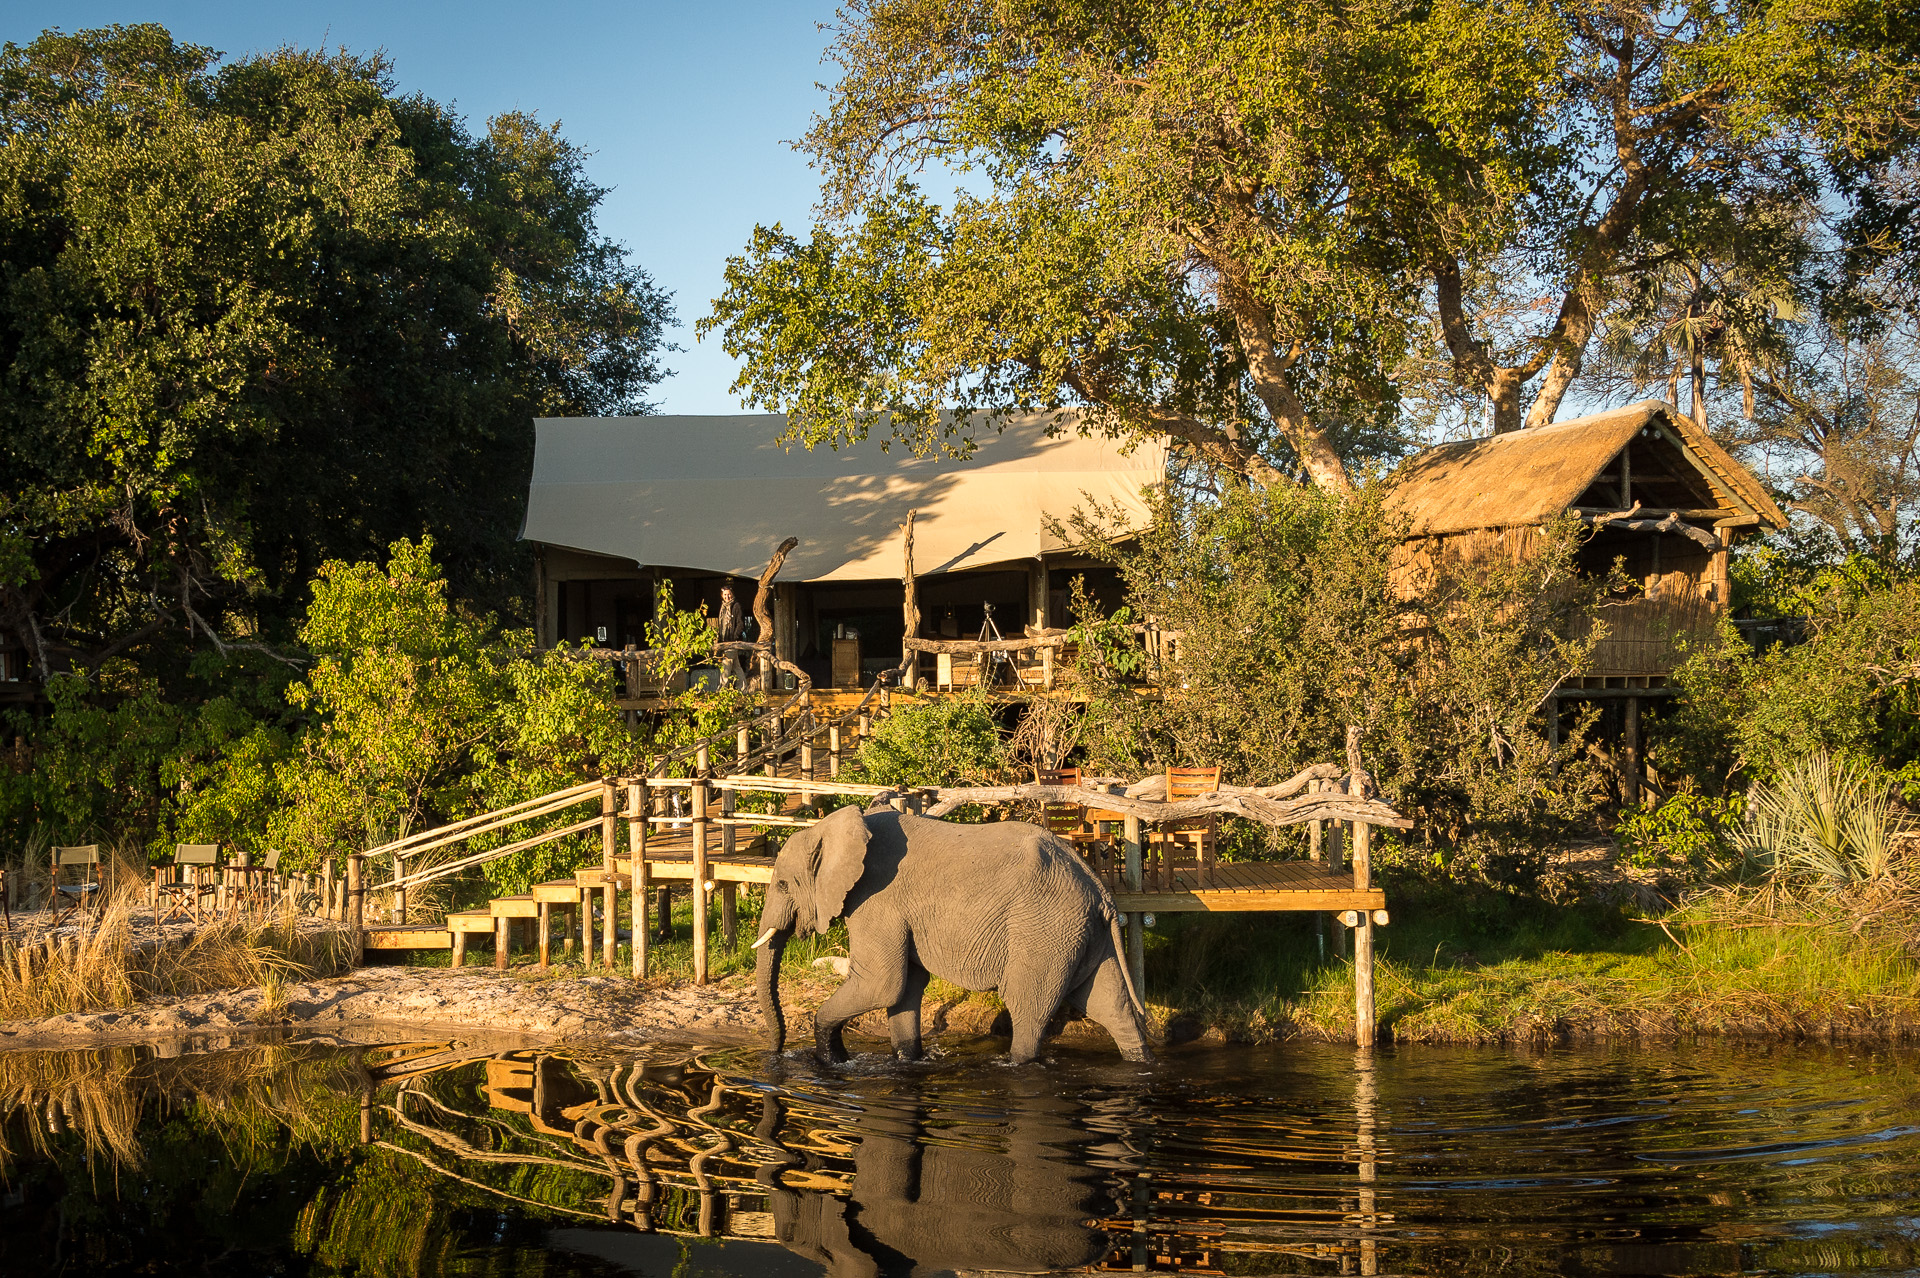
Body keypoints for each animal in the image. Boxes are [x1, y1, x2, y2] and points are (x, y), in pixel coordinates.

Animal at [752, 803, 1151, 1064]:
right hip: (1080, 932)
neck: (831, 829)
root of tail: (1098, 888)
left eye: (783, 884)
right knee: (1111, 1005)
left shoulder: (877, 900)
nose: (775, 1054)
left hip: (1045, 930)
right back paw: (1139, 1063)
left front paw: (830, 1060)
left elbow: (880, 983)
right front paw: (906, 1061)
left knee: (1028, 1010)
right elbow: (905, 988)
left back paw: (1017, 1065)